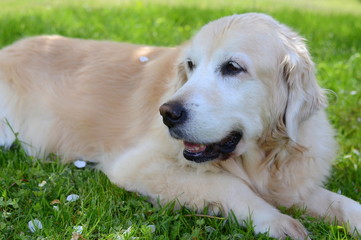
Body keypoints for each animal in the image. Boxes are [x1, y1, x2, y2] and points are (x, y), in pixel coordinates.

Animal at [0, 12, 360, 238]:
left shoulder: (292, 180)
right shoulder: (138, 165)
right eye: (190, 65)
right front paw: (275, 220)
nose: (167, 113)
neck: (261, 160)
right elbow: (227, 185)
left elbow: (342, 202)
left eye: (232, 67)